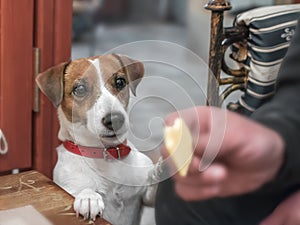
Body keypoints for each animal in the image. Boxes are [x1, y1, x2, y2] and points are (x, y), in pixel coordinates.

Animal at [36, 54, 159, 225]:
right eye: (80, 89)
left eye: (120, 82)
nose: (115, 119)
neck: (105, 153)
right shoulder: (67, 186)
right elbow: (83, 188)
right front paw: (88, 197)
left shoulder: (146, 196)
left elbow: (154, 187)